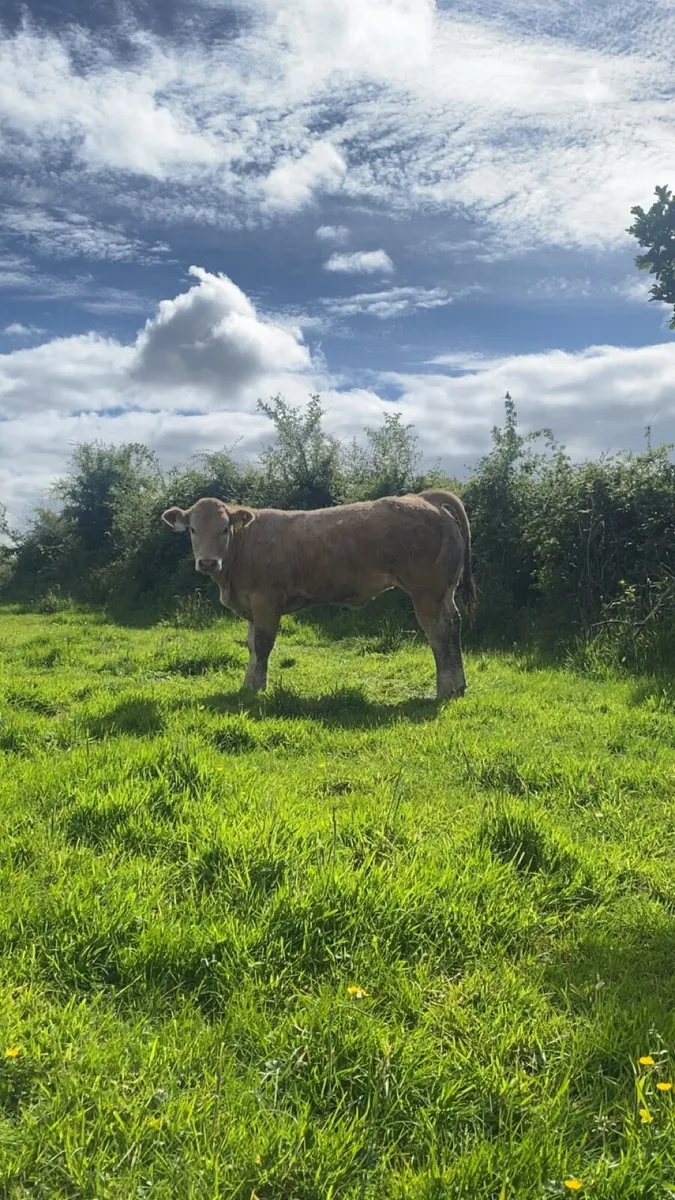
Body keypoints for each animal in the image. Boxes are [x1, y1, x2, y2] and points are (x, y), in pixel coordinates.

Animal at [161, 489, 475, 701]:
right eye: (192, 529)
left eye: (225, 528)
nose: (208, 562)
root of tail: (424, 497)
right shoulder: (251, 607)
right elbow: (251, 646)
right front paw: (247, 685)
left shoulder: (266, 600)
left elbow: (262, 645)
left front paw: (258, 689)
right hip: (444, 591)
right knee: (454, 625)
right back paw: (458, 686)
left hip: (427, 592)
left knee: (439, 633)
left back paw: (446, 689)